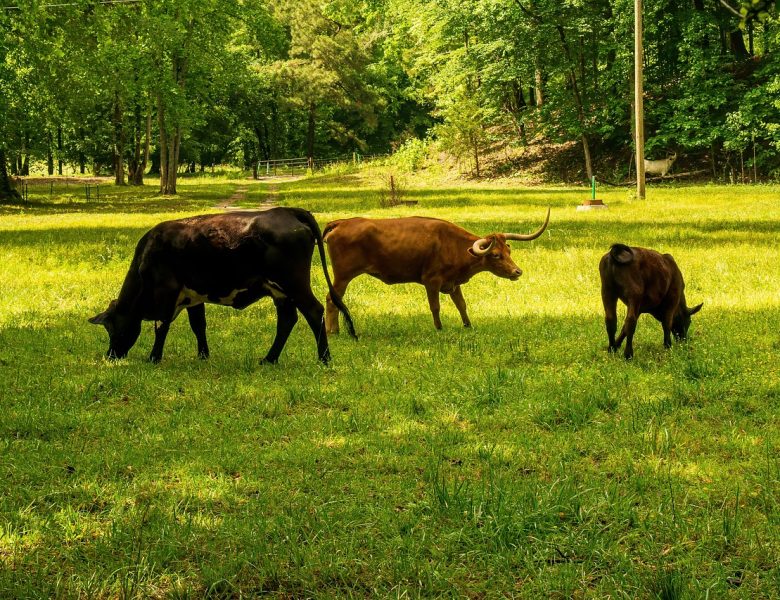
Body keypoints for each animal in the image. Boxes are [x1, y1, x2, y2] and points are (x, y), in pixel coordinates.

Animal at [89, 206, 356, 366]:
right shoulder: (193, 296)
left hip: (294, 283)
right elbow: (198, 326)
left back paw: (324, 358)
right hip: (280, 291)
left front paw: (154, 358)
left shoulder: (166, 292)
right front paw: (203, 356)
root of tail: (285, 211)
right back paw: (269, 359)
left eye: (112, 329)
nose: (111, 356)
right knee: (287, 320)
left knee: (313, 311)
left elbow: (161, 327)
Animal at [320, 210, 552, 332]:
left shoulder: (454, 283)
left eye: (508, 250)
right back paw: (333, 332)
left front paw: (468, 325)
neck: (453, 245)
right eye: (495, 254)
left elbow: (461, 305)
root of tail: (341, 222)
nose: (517, 271)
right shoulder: (431, 280)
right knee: (332, 299)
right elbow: (435, 306)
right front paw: (439, 328)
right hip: (342, 276)